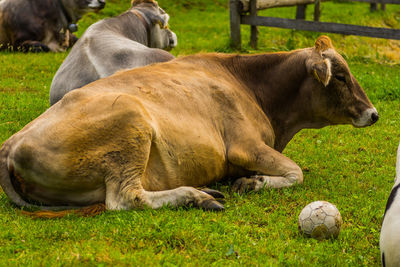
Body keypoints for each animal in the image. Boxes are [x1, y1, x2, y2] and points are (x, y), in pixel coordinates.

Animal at [0, 36, 378, 216]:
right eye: (340, 76)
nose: (374, 114)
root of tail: (12, 141)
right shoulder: (244, 146)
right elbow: (296, 173)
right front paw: (253, 182)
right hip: (130, 125)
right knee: (125, 199)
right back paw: (197, 197)